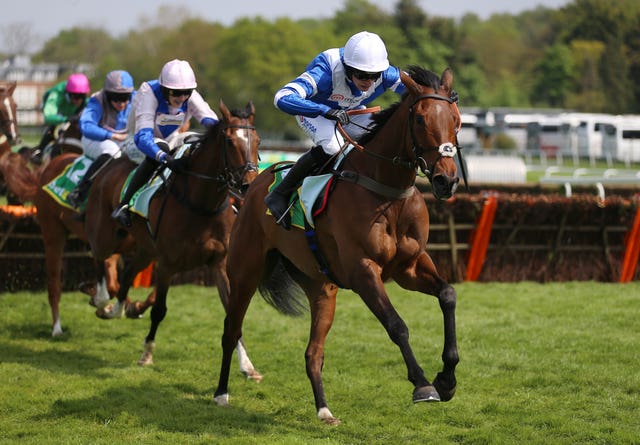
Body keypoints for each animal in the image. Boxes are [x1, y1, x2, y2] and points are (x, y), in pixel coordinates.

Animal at [85, 101, 262, 378]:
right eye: (230, 141)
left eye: (257, 141)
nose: (248, 185)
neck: (202, 204)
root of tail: (111, 166)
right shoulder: (167, 264)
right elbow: (159, 310)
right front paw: (146, 354)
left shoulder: (219, 263)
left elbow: (232, 313)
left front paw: (247, 366)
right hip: (107, 234)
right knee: (99, 254)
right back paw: (102, 298)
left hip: (145, 247)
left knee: (127, 273)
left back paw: (117, 308)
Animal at [215, 66, 460, 424]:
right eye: (420, 119)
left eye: (456, 120)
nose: (446, 180)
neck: (387, 192)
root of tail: (255, 184)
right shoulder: (363, 272)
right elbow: (397, 325)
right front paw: (423, 384)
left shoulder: (410, 267)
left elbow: (448, 295)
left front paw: (447, 379)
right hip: (245, 272)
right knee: (231, 331)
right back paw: (221, 393)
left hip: (320, 286)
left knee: (313, 352)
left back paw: (324, 410)